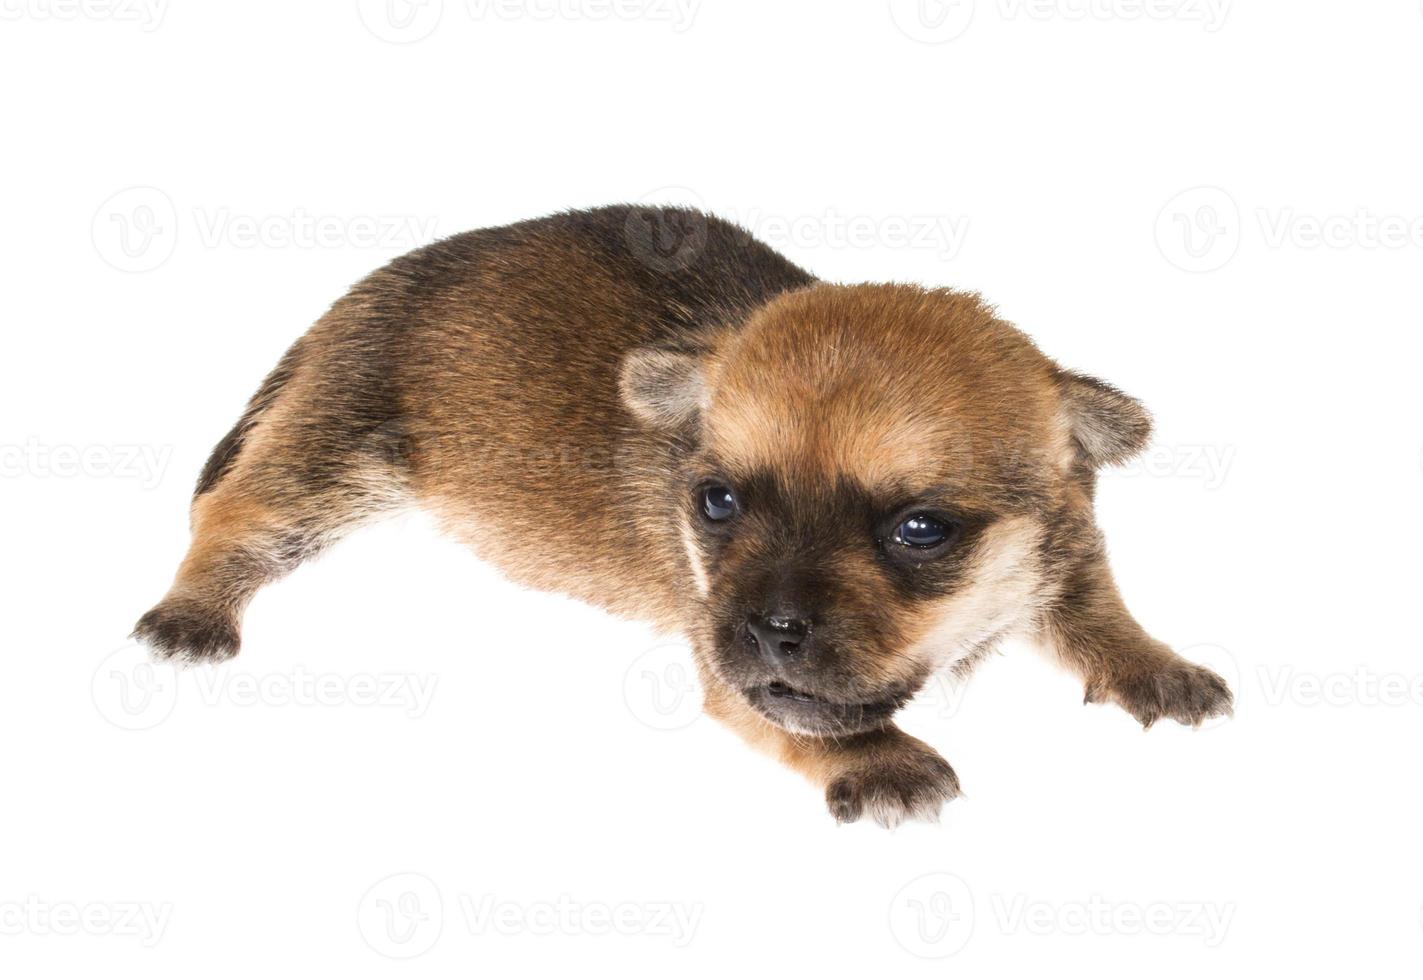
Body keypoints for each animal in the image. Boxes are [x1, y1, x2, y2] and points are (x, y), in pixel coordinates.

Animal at [133, 206, 1229, 824]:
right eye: (717, 502)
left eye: (919, 530)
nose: (770, 626)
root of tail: (366, 287)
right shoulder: (722, 653)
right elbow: (800, 717)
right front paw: (882, 765)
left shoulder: (1064, 551)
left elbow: (1099, 614)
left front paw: (1155, 668)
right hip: (330, 459)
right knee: (231, 514)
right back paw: (188, 616)